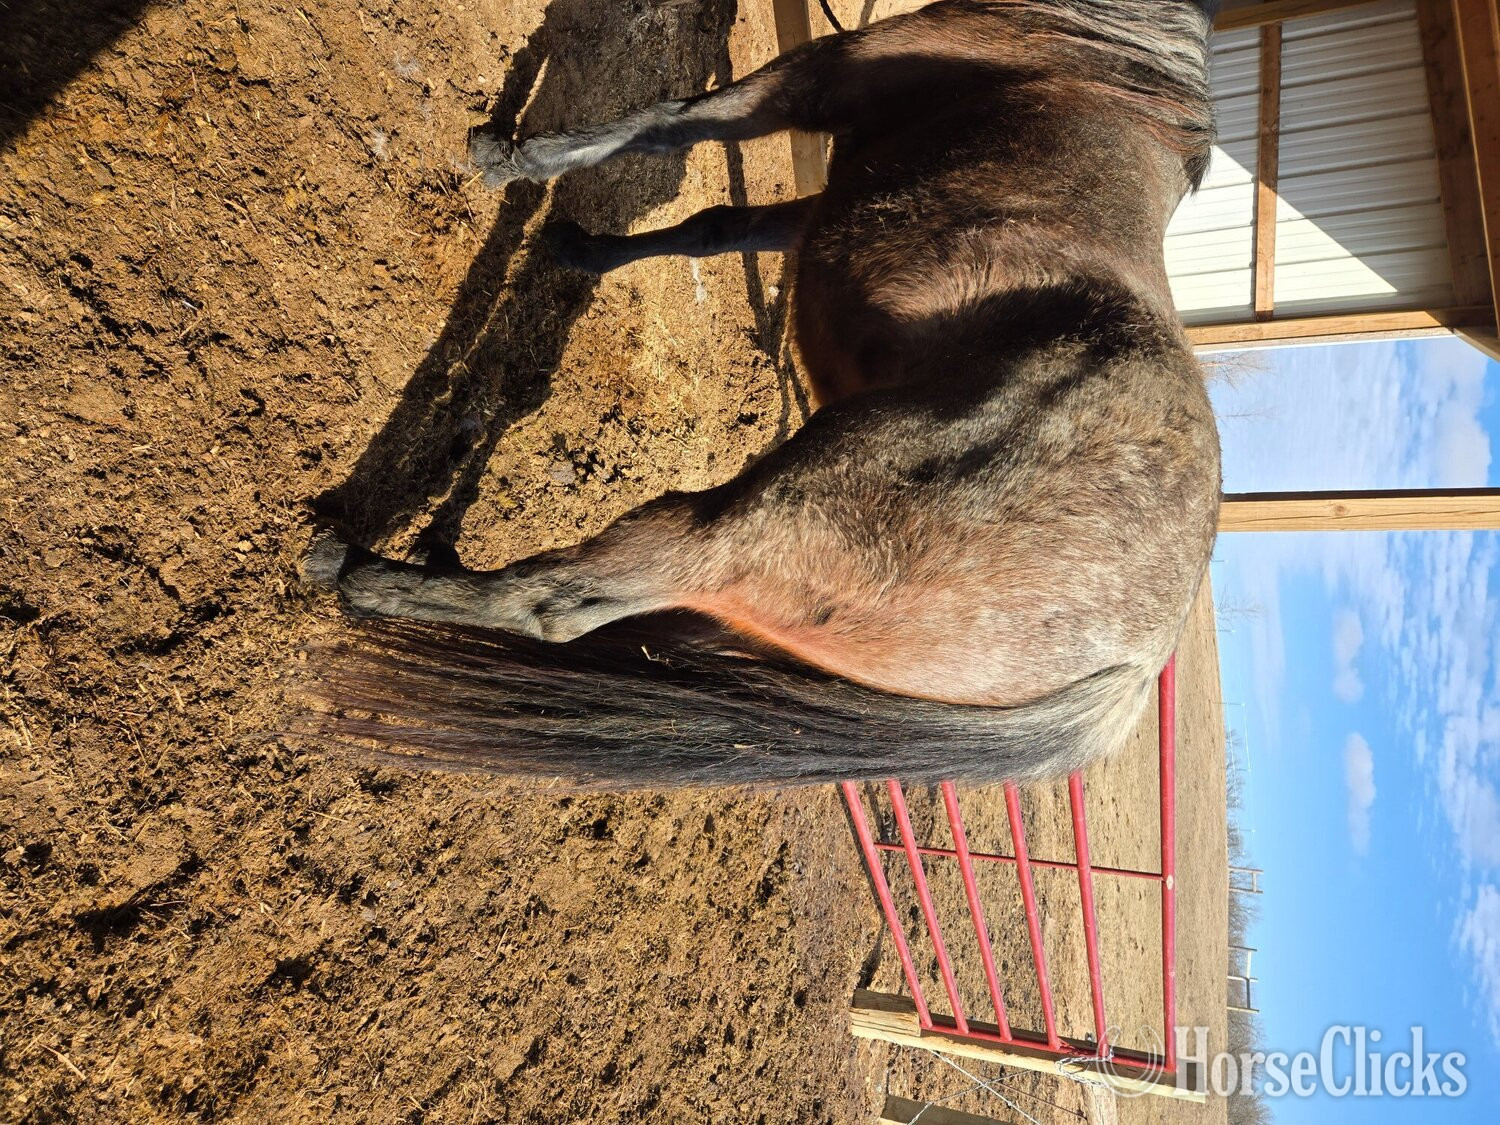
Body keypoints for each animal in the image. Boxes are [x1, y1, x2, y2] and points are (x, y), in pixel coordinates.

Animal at [302, 0, 1223, 788]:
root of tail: (1130, 662)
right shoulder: (827, 201)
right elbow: (713, 227)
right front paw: (577, 246)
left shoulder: (817, 77)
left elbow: (672, 119)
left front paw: (512, 158)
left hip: (759, 519)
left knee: (563, 597)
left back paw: (355, 569)